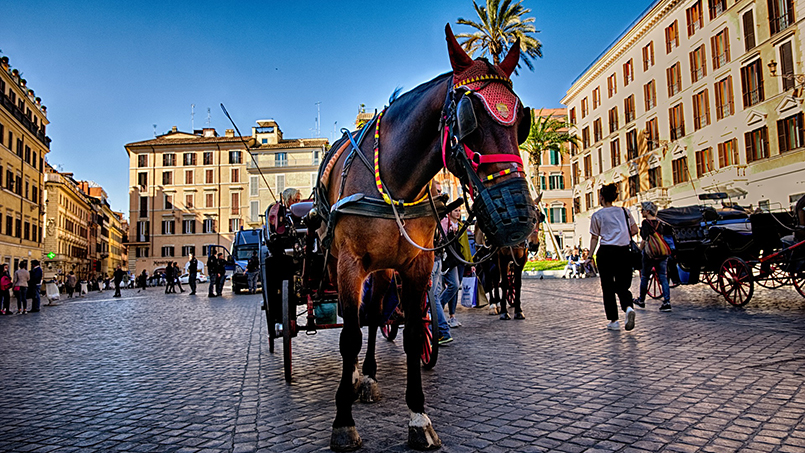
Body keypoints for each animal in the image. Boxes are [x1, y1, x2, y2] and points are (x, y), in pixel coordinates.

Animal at [318, 24, 536, 448]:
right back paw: (355, 378)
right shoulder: (350, 264)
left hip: (384, 270)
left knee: (374, 315)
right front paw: (343, 422)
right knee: (355, 324)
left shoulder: (418, 265)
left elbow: (415, 332)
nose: (519, 218)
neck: (395, 181)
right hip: (339, 263)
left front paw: (418, 417)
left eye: (521, 121)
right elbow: (348, 336)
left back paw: (368, 375)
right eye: (469, 118)